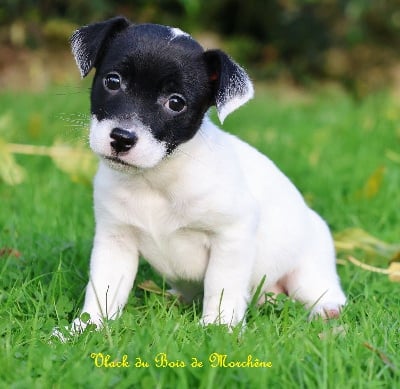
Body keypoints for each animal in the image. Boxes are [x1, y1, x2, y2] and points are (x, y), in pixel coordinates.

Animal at [67, 15, 346, 330]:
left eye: (176, 102)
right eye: (113, 81)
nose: (122, 138)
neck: (156, 178)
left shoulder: (231, 236)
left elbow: (221, 285)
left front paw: (219, 327)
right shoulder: (116, 240)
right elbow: (103, 288)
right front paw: (83, 329)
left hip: (307, 271)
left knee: (323, 291)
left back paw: (327, 310)